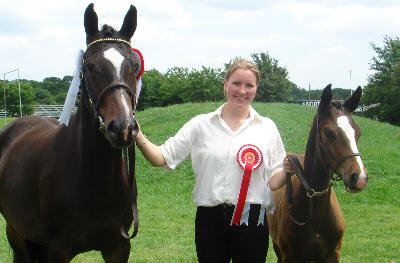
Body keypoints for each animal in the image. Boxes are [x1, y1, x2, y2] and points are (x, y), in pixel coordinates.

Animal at [0, 3, 141, 262]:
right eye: (89, 66)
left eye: (135, 66)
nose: (123, 128)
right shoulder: (59, 250)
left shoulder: (118, 247)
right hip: (16, 233)